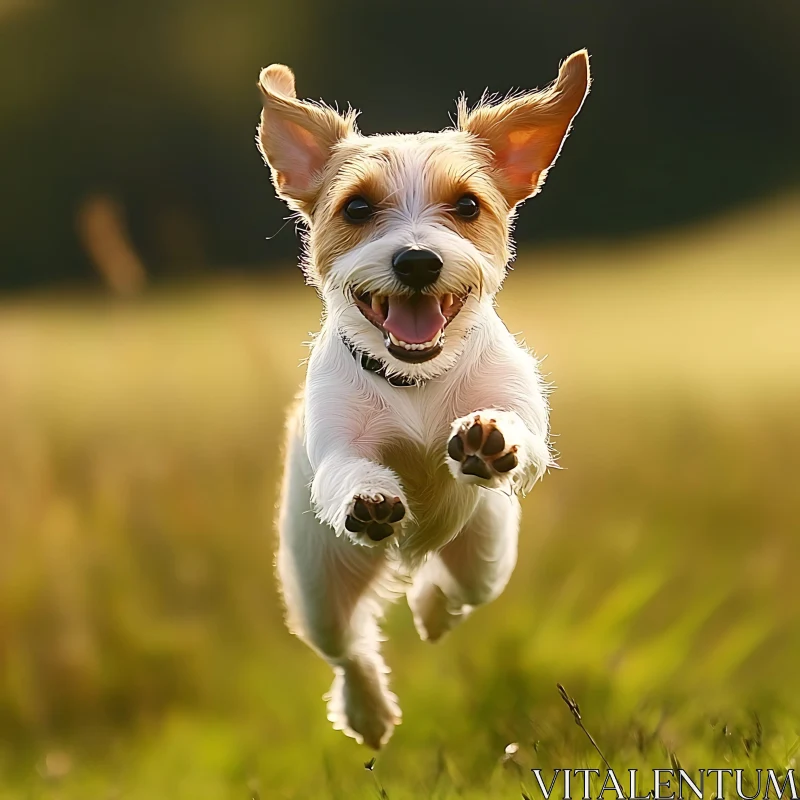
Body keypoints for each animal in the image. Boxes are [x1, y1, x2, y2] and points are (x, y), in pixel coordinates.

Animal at [260, 51, 592, 752]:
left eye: (467, 205)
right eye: (357, 208)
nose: (417, 261)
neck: (414, 381)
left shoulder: (523, 418)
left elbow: (520, 431)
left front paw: (489, 436)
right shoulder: (337, 449)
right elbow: (349, 472)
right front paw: (370, 496)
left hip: (487, 548)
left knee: (458, 589)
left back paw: (431, 606)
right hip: (318, 583)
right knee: (348, 650)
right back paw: (368, 712)